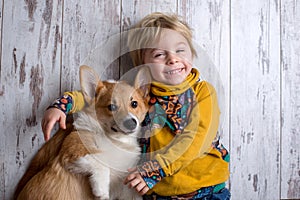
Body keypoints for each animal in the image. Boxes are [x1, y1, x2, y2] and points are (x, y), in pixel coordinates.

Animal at [14, 65, 150, 200]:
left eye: (134, 103)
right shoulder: (73, 151)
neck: (115, 139)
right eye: (111, 107)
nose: (131, 123)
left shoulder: (124, 182)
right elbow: (101, 163)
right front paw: (101, 190)